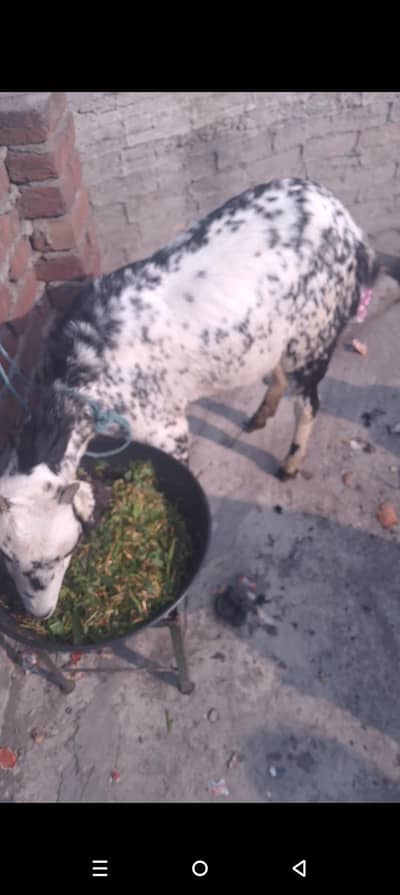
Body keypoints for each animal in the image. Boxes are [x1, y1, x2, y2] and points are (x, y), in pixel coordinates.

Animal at [0, 177, 397, 619]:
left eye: (60, 554)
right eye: (8, 558)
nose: (40, 613)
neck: (82, 369)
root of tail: (346, 223)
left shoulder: (166, 427)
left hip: (314, 332)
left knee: (308, 402)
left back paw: (290, 463)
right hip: (272, 331)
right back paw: (260, 415)